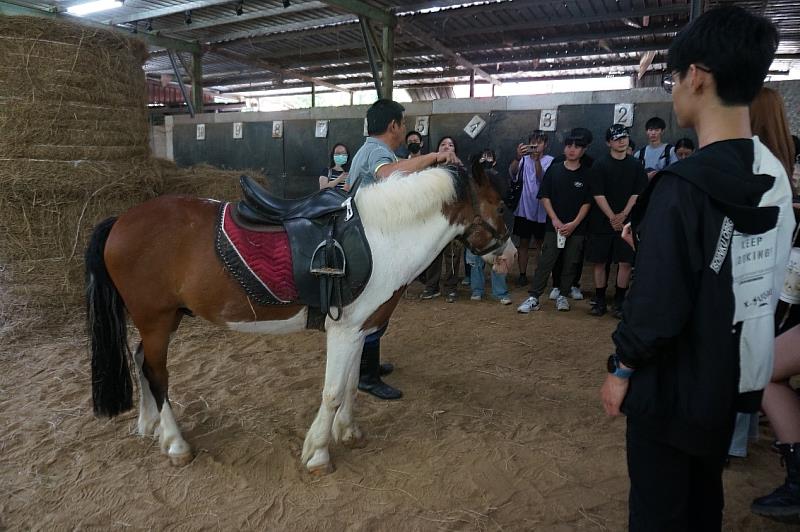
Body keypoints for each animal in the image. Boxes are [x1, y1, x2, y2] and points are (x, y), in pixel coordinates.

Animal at [87, 163, 510, 474]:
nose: (508, 256)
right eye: (503, 206)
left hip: (165, 319)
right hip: (155, 319)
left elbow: (352, 385)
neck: (382, 235)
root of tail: (120, 220)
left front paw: (349, 432)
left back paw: (149, 426)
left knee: (141, 359)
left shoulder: (358, 331)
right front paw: (318, 453)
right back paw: (175, 443)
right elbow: (333, 391)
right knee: (156, 373)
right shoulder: (343, 331)